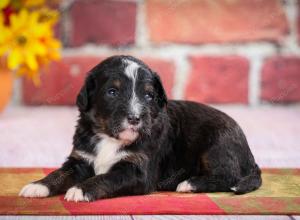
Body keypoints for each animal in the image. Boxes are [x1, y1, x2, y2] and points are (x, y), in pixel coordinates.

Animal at [19, 55, 262, 203]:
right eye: (112, 92)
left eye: (148, 95)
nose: (135, 118)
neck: (110, 137)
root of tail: (250, 155)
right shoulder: (80, 158)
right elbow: (60, 173)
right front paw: (37, 186)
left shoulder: (137, 169)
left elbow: (108, 178)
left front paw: (81, 189)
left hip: (217, 145)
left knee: (228, 177)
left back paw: (189, 183)